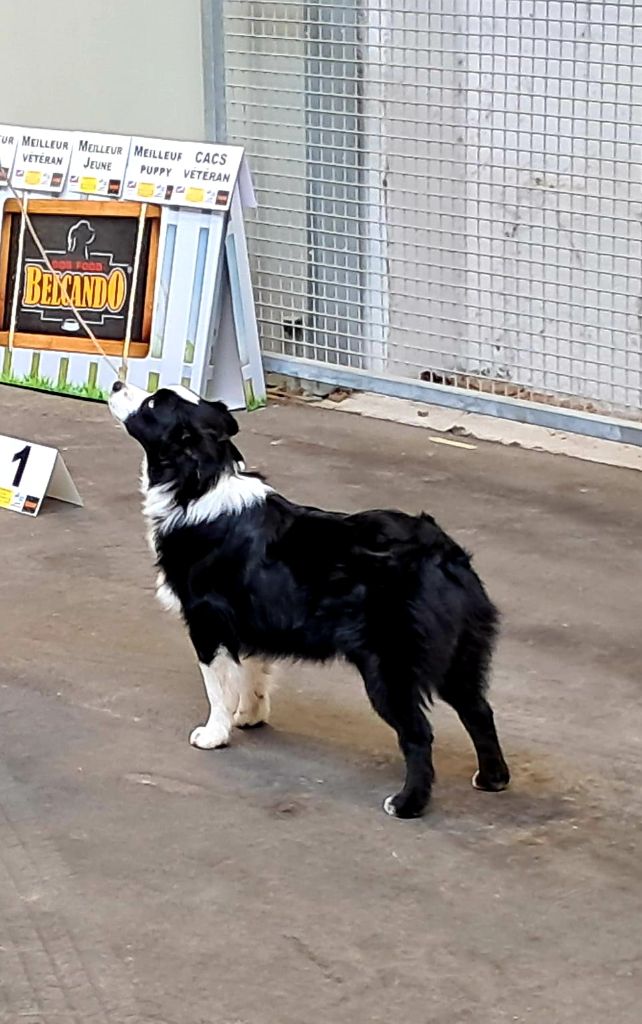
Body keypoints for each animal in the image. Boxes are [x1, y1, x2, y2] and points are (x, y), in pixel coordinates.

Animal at [111, 380, 511, 819]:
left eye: (152, 404)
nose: (116, 383)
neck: (197, 483)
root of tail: (442, 552)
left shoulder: (206, 621)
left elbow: (217, 685)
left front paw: (214, 734)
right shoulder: (252, 619)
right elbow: (253, 672)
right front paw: (248, 716)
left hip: (390, 667)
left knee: (419, 733)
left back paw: (408, 804)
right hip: (460, 653)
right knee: (479, 710)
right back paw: (492, 779)